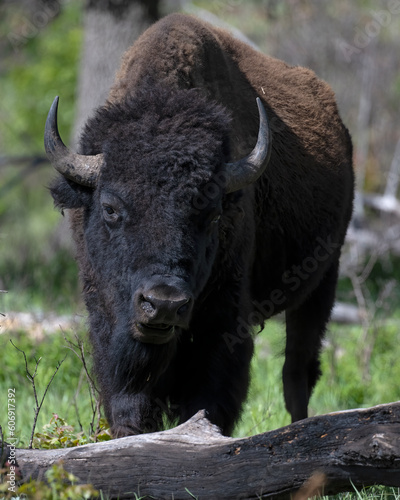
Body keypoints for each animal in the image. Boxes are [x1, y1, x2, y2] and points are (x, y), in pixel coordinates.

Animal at [45, 12, 354, 438]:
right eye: (110, 208)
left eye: (212, 215)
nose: (163, 303)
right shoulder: (107, 321)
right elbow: (129, 405)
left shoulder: (223, 326)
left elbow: (208, 403)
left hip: (322, 280)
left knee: (297, 374)